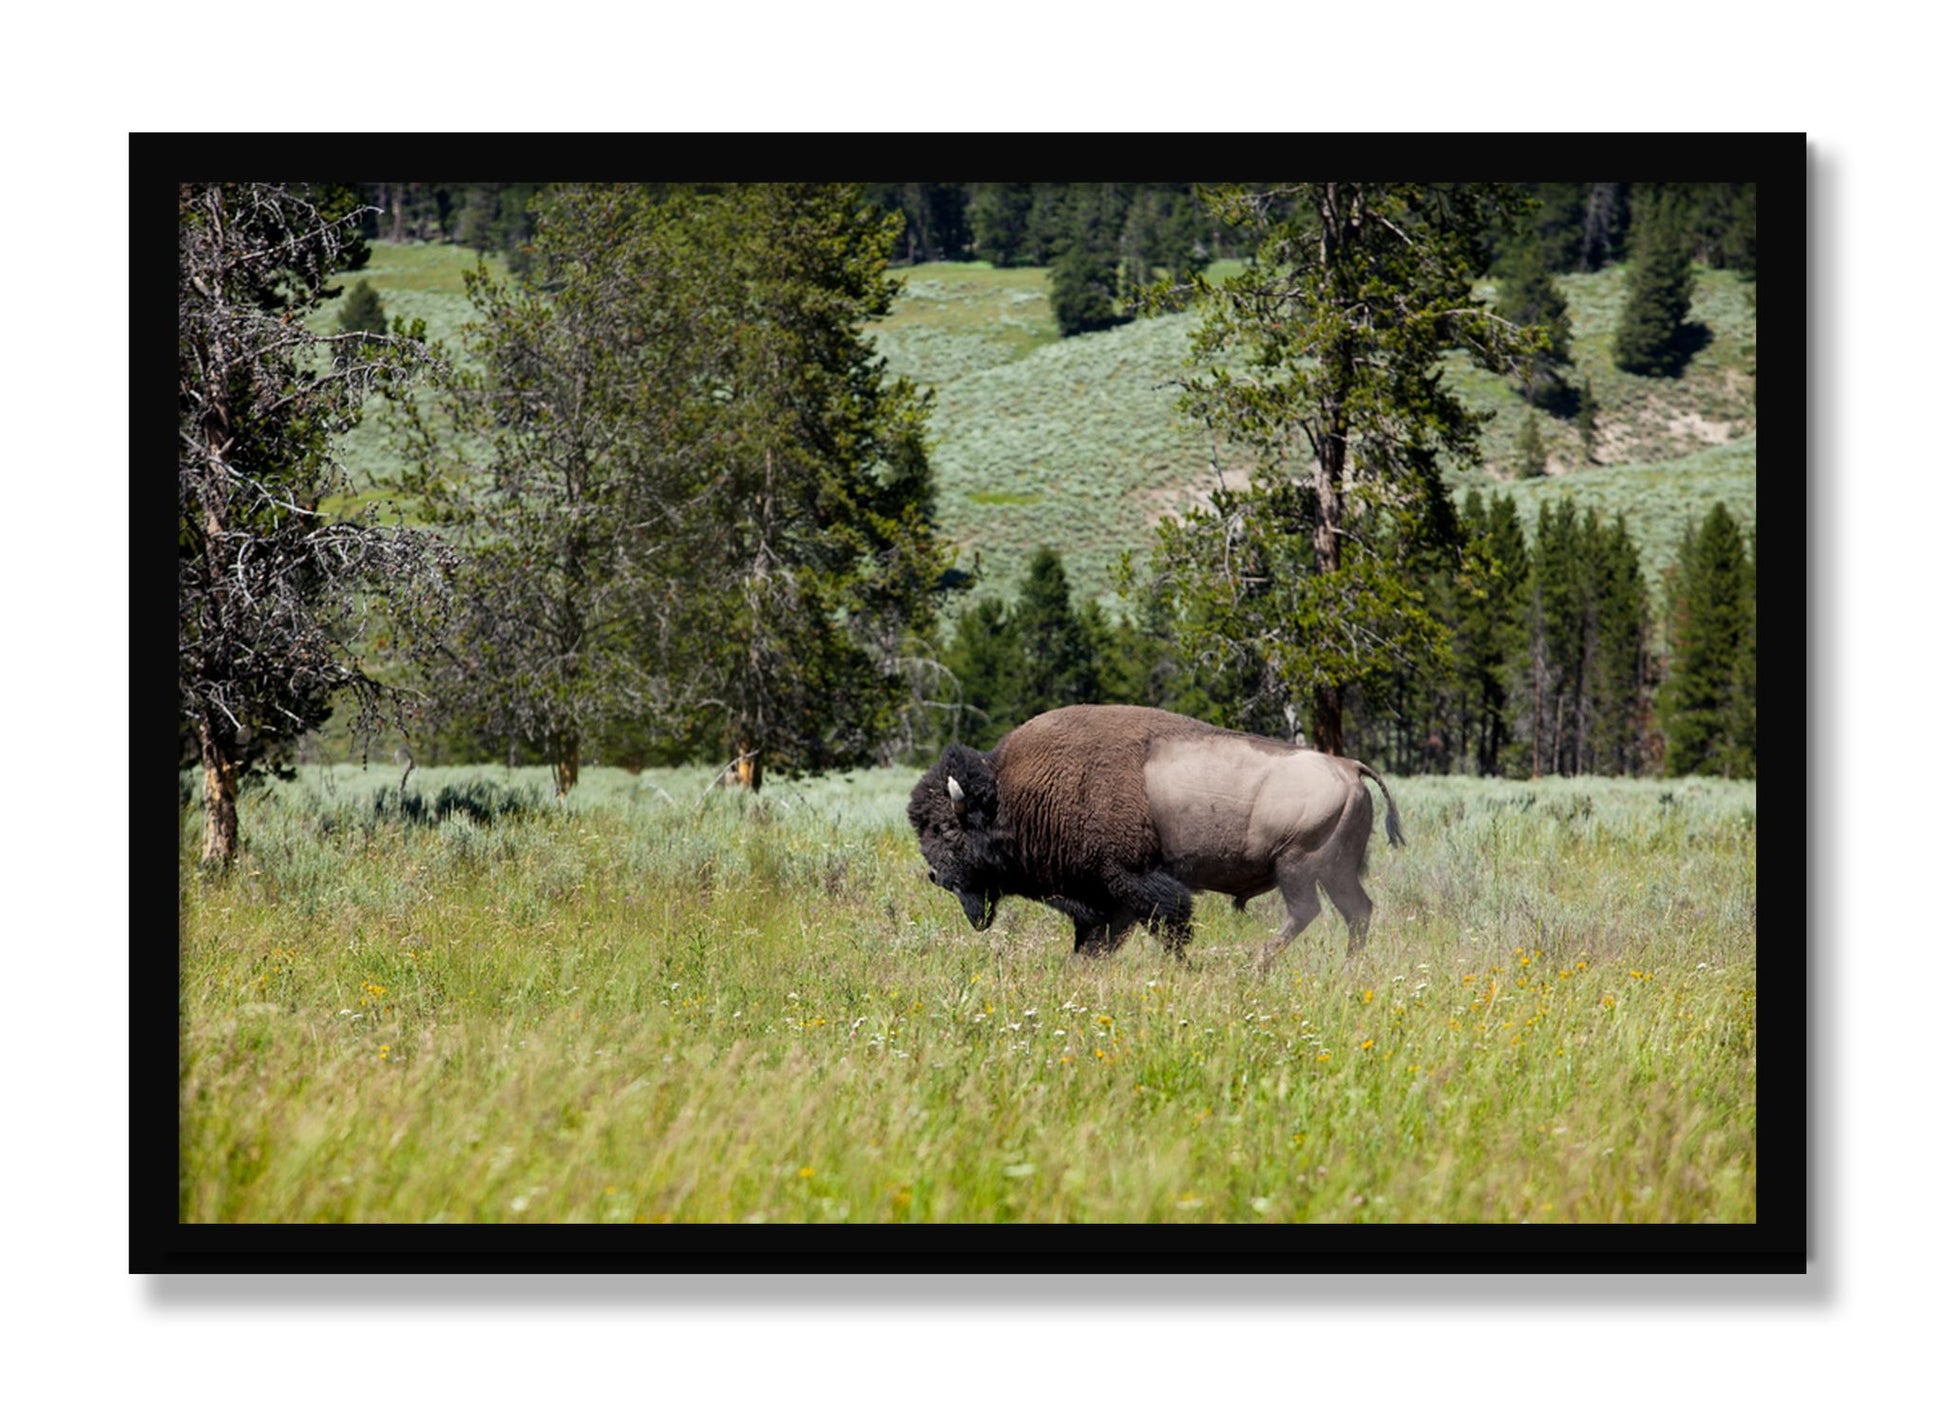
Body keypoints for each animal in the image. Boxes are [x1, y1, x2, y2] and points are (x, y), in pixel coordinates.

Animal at [908, 704, 1403, 969]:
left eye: (945, 828)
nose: (935, 875)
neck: (1011, 794)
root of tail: (1349, 766)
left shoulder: (1133, 880)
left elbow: (1169, 925)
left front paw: (1184, 966)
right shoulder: (1105, 897)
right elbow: (1099, 938)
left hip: (1297, 866)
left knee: (1307, 912)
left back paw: (1256, 963)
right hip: (1335, 871)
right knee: (1357, 911)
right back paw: (1347, 966)